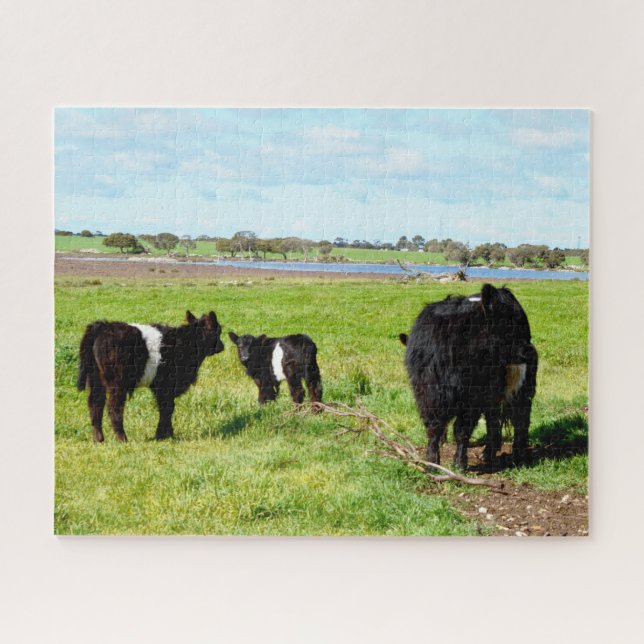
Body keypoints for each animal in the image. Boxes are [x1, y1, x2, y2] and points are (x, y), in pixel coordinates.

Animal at [77, 311, 224, 442]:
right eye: (217, 332)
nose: (222, 346)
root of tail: (102, 326)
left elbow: (166, 408)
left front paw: (167, 434)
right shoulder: (166, 386)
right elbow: (167, 408)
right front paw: (162, 435)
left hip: (95, 379)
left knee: (95, 404)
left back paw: (98, 439)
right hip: (117, 382)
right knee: (114, 407)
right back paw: (122, 439)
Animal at [401, 284, 537, 469]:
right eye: (509, 322)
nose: (529, 351)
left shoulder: (471, 400)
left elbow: (462, 430)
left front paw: (459, 463)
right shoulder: (428, 394)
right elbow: (434, 428)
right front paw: (431, 461)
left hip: (521, 390)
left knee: (521, 419)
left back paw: (518, 455)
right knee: (494, 421)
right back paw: (488, 454)